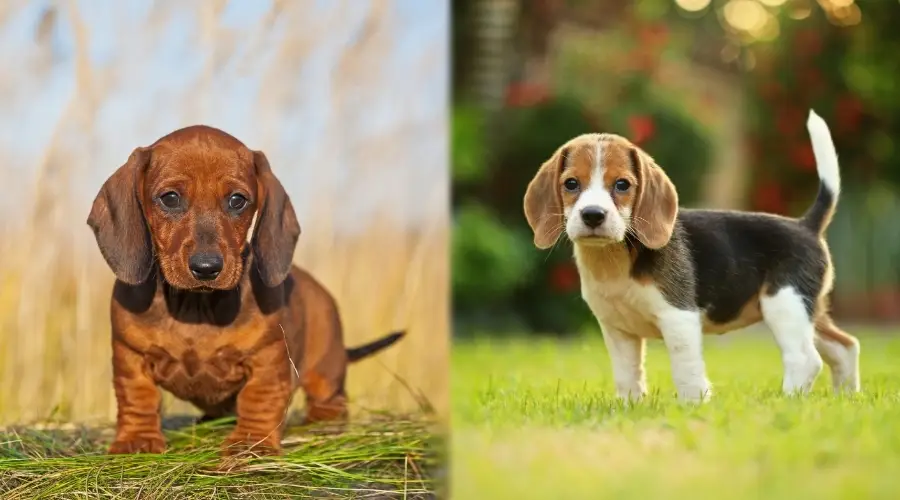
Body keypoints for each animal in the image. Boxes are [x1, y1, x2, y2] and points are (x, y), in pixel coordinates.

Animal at [87, 126, 404, 458]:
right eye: (170, 198)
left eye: (237, 200)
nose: (206, 267)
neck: (196, 308)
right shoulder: (130, 356)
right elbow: (138, 396)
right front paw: (137, 440)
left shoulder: (267, 359)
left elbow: (258, 399)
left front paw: (251, 442)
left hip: (325, 368)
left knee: (331, 400)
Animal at [524, 110, 860, 402]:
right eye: (571, 184)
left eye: (621, 185)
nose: (593, 215)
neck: (614, 258)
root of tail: (805, 225)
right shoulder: (618, 329)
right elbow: (627, 374)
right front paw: (629, 406)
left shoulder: (679, 317)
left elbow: (686, 370)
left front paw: (693, 405)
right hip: (808, 309)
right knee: (845, 347)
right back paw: (847, 398)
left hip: (784, 304)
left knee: (805, 359)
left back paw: (787, 400)